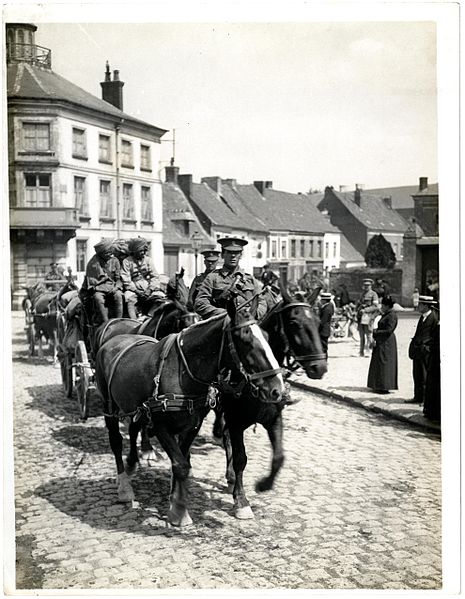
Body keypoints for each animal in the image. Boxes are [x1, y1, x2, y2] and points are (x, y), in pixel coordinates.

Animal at [94, 300, 282, 524]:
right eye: (245, 340)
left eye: (268, 337)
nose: (277, 388)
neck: (182, 373)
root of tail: (113, 338)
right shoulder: (161, 426)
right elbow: (181, 464)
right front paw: (180, 511)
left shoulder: (192, 426)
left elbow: (182, 461)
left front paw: (175, 499)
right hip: (109, 406)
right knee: (116, 440)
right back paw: (124, 485)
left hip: (136, 407)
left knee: (133, 428)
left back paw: (133, 463)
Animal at [212, 282, 324, 520]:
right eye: (294, 323)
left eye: (318, 322)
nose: (320, 367)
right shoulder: (236, 422)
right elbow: (240, 458)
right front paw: (241, 501)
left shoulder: (274, 419)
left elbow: (279, 457)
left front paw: (264, 485)